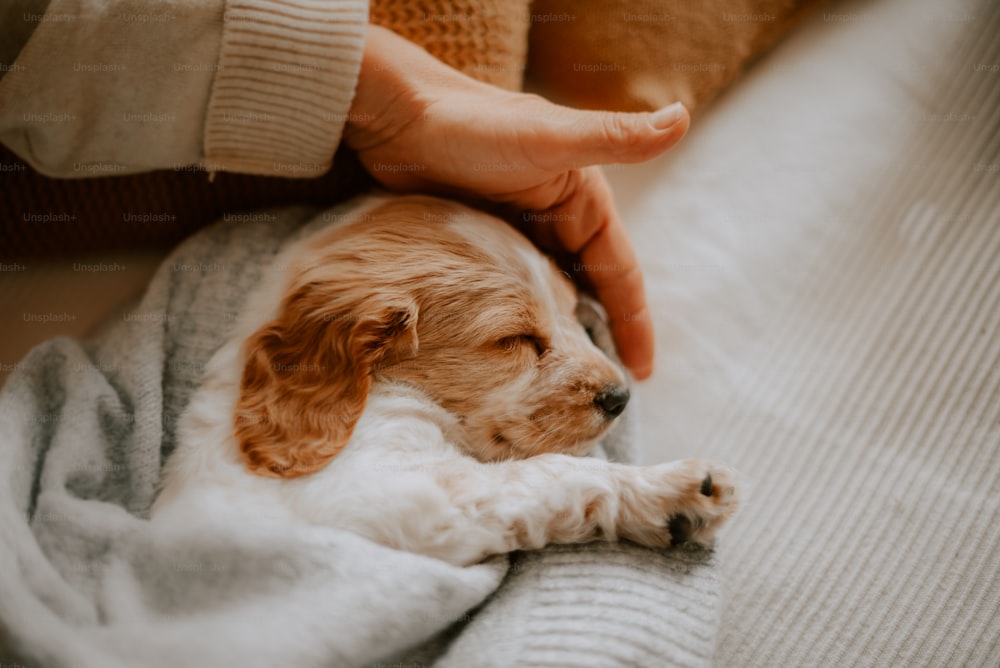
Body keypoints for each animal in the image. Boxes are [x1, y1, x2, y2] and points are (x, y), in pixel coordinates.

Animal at [154, 193, 736, 564]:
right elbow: (548, 474)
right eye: (514, 340)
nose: (620, 396)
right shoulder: (391, 493)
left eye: (574, 311)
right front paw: (673, 491)